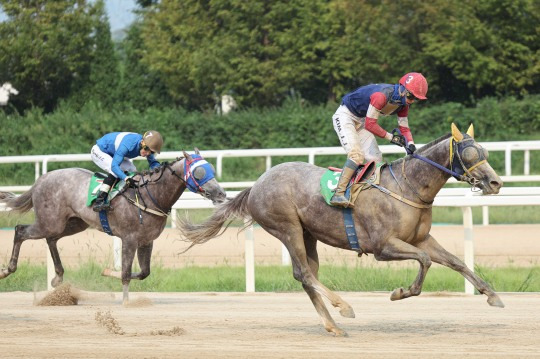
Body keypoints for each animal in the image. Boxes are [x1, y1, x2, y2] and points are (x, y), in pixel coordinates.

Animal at [0, 149, 226, 304]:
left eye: (212, 169)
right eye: (199, 172)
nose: (221, 193)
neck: (150, 195)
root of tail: (42, 179)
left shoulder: (146, 241)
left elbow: (143, 272)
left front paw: (107, 272)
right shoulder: (129, 238)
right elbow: (126, 272)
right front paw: (126, 302)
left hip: (73, 223)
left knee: (51, 239)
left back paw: (57, 278)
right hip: (49, 222)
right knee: (21, 231)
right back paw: (8, 269)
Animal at [179, 124, 504, 338]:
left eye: (485, 150)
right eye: (469, 152)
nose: (495, 182)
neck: (407, 186)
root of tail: (256, 185)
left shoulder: (421, 238)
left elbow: (455, 261)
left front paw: (491, 294)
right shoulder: (382, 246)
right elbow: (424, 261)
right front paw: (400, 293)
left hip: (308, 234)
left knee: (307, 276)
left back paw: (333, 325)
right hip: (287, 228)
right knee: (304, 273)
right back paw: (343, 307)